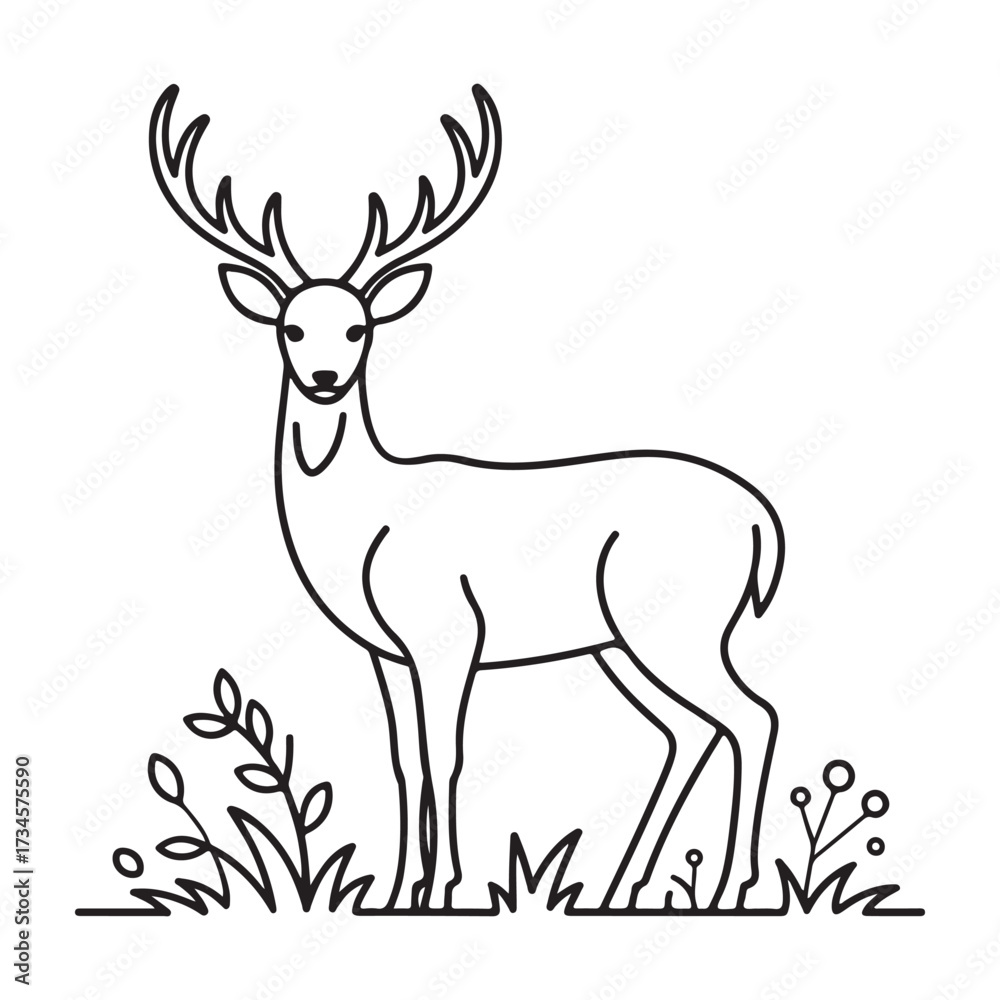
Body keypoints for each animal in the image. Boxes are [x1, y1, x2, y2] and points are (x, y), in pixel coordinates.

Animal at [150, 83, 785, 913]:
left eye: (357, 328)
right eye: (292, 327)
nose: (323, 380)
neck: (364, 525)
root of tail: (762, 519)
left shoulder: (449, 632)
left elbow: (445, 755)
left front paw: (445, 886)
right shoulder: (385, 651)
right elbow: (402, 759)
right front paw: (392, 888)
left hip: (683, 620)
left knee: (751, 716)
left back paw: (736, 883)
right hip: (621, 639)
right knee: (689, 731)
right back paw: (624, 882)